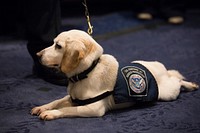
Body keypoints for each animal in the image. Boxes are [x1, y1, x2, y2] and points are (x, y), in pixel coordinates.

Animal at [31, 29, 198, 120]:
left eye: (58, 46)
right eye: (53, 43)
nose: (37, 54)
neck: (88, 71)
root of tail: (160, 68)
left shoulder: (94, 109)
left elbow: (67, 110)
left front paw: (51, 113)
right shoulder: (73, 98)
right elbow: (57, 101)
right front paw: (42, 108)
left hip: (168, 93)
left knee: (177, 80)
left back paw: (191, 85)